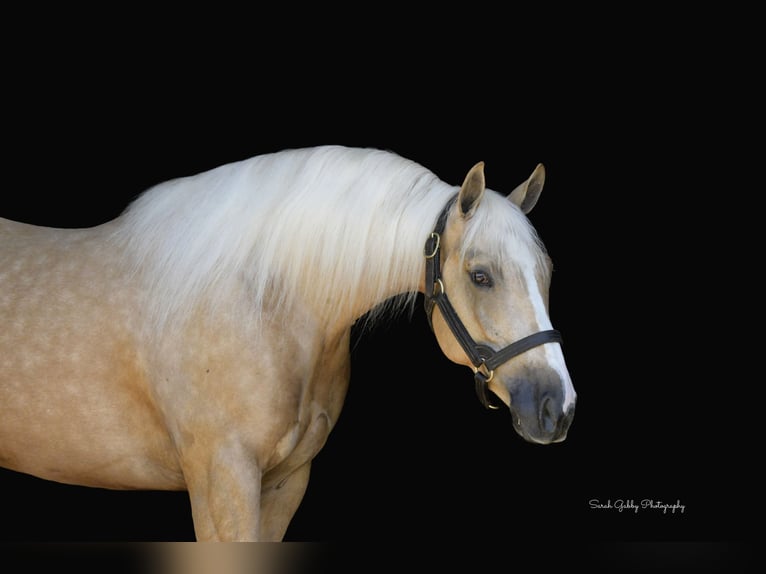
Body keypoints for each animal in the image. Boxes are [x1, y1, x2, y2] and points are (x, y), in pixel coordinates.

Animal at [0, 145, 576, 541]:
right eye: (481, 276)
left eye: (546, 273)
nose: (558, 408)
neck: (263, 302)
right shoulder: (222, 481)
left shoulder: (285, 482)